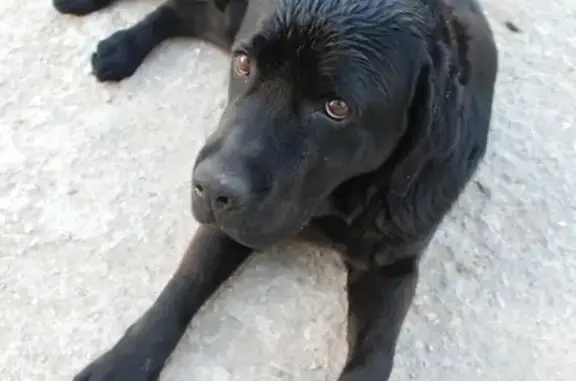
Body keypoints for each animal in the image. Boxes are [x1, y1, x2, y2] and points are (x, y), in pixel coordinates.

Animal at [51, 0, 498, 378]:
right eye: (244, 63)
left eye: (337, 108)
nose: (210, 188)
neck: (333, 204)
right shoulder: (225, 223)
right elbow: (180, 290)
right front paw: (121, 362)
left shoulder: (392, 268)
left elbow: (374, 358)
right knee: (182, 10)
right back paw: (117, 44)